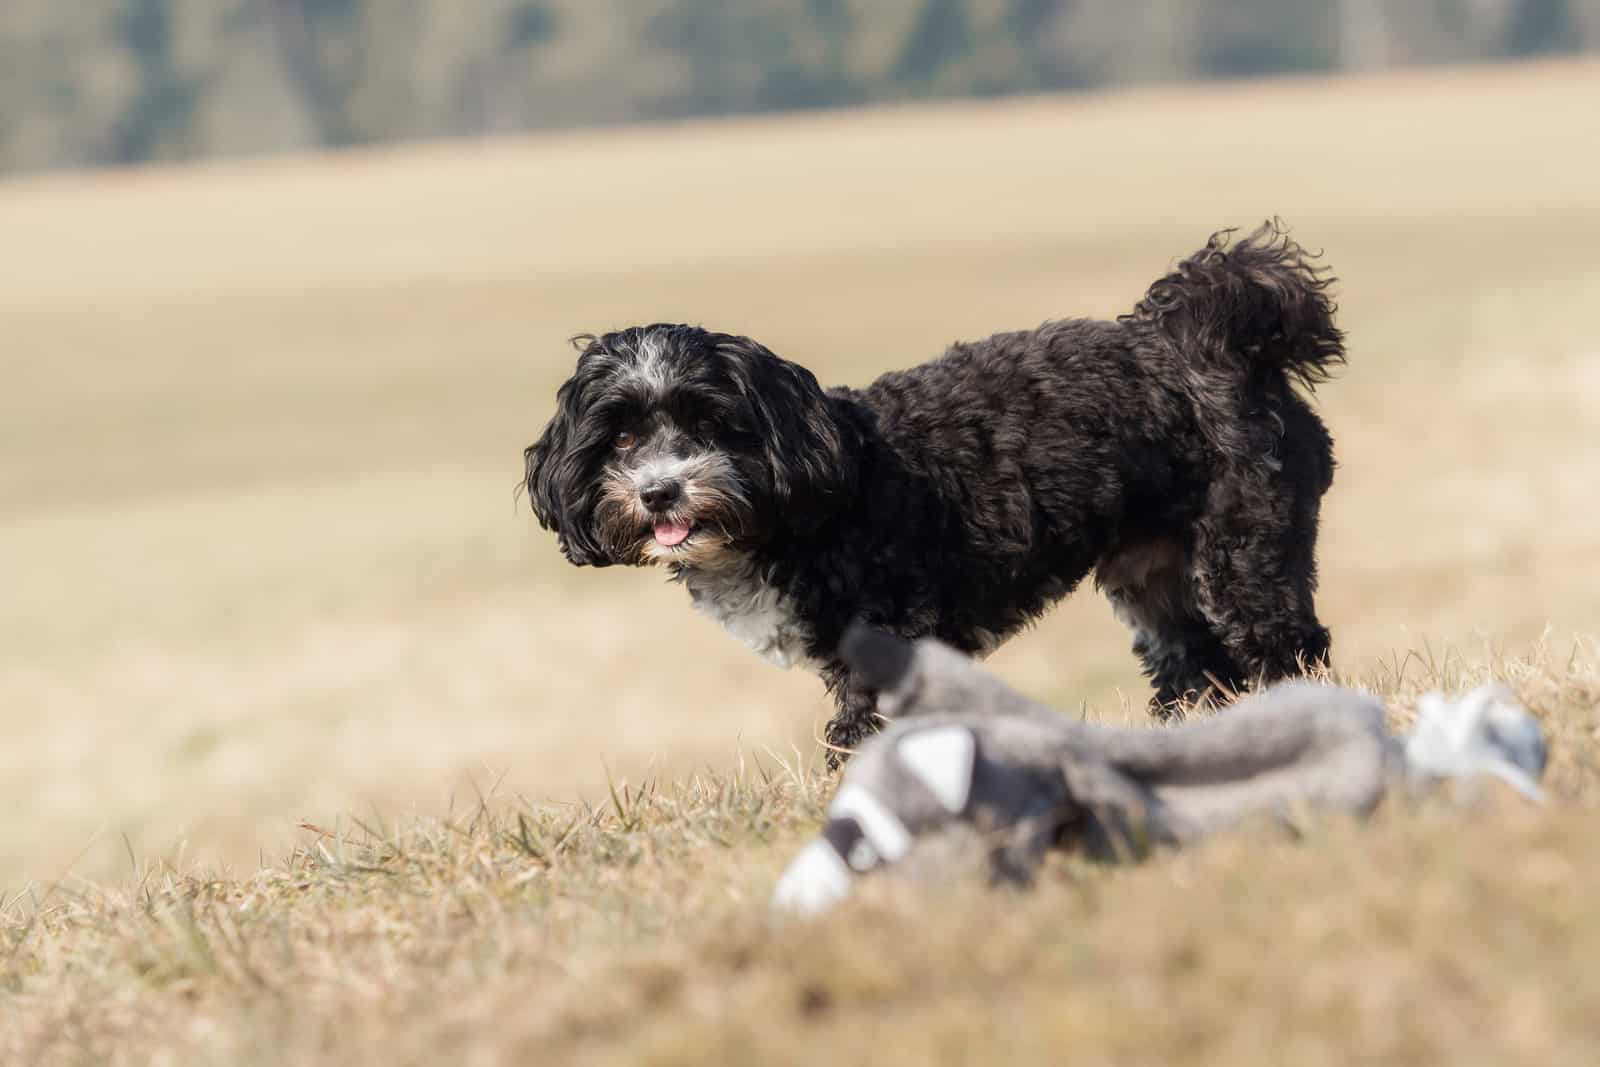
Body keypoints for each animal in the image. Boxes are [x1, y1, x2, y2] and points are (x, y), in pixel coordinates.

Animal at [524, 220, 1337, 764]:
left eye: (708, 423)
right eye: (621, 439)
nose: (660, 492)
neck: (812, 498)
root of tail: (1208, 342)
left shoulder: (888, 626)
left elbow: (869, 721)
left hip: (1242, 546)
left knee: (1283, 644)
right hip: (1154, 571)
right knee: (1195, 661)